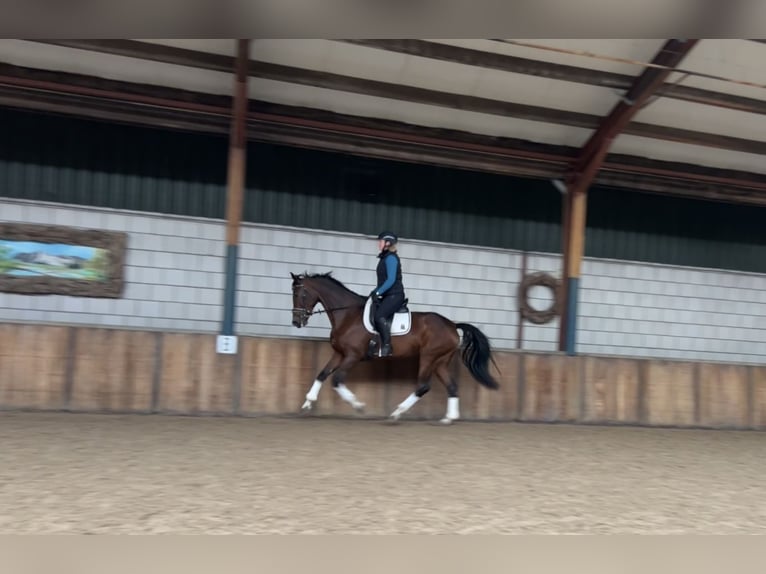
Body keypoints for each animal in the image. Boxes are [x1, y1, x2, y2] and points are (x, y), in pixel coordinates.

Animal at [292, 272, 500, 426]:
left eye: (301, 294)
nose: (296, 322)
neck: (348, 315)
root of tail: (452, 325)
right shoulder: (339, 353)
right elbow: (322, 374)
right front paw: (307, 403)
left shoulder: (352, 355)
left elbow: (337, 380)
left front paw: (358, 405)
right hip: (440, 361)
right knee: (451, 386)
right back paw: (448, 419)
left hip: (428, 356)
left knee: (423, 386)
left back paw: (396, 413)